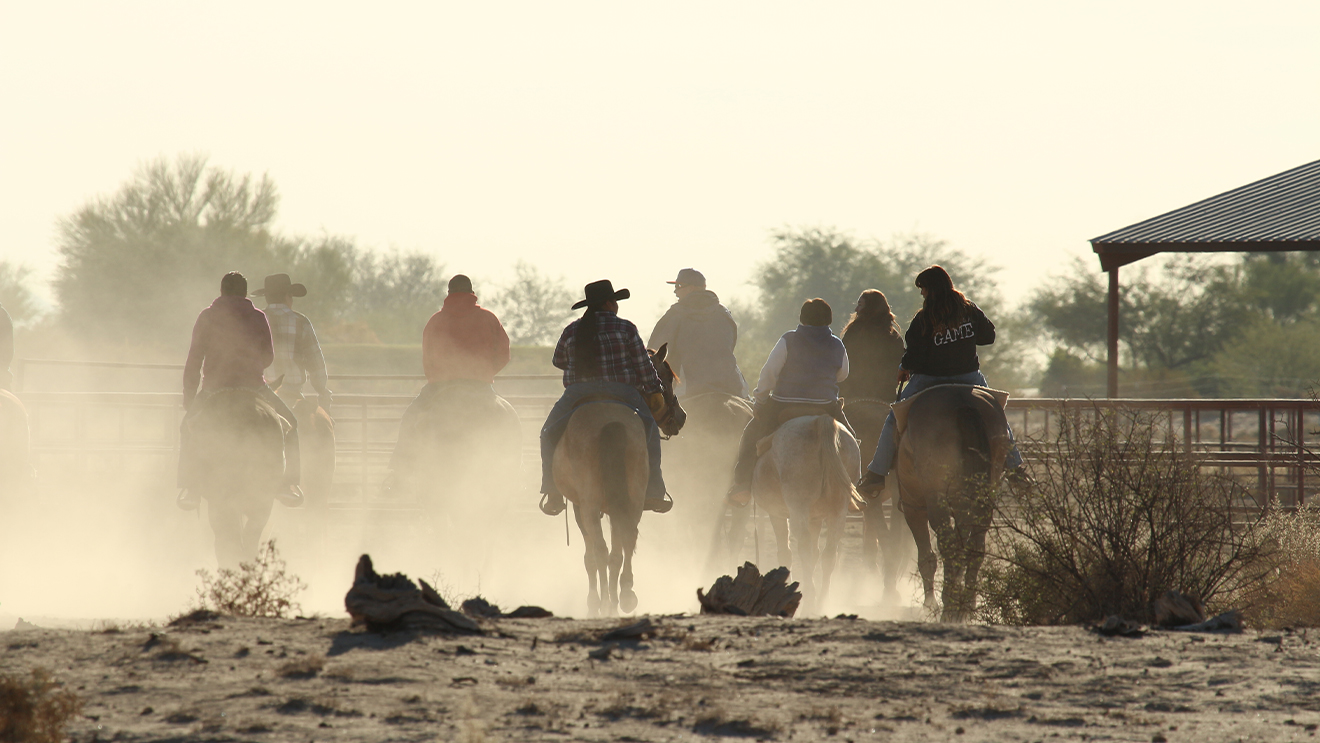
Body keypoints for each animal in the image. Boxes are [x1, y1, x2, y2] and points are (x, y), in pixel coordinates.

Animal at [551, 345, 686, 620]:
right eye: (666, 378)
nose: (682, 416)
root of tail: (609, 421)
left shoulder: (581, 507)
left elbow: (590, 557)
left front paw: (594, 602)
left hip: (592, 505)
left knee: (602, 551)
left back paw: (605, 603)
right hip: (631, 498)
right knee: (623, 543)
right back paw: (623, 596)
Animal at [755, 411, 865, 609]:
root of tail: (819, 421)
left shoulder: (777, 513)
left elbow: (786, 553)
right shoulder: (815, 518)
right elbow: (815, 553)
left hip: (798, 506)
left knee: (804, 548)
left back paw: (809, 600)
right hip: (838, 510)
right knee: (829, 553)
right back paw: (821, 601)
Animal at [897, 382, 1008, 622]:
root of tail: (962, 401)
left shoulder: (913, 507)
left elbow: (926, 557)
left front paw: (929, 605)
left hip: (935, 499)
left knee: (948, 546)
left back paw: (949, 606)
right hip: (983, 495)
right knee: (975, 547)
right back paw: (966, 606)